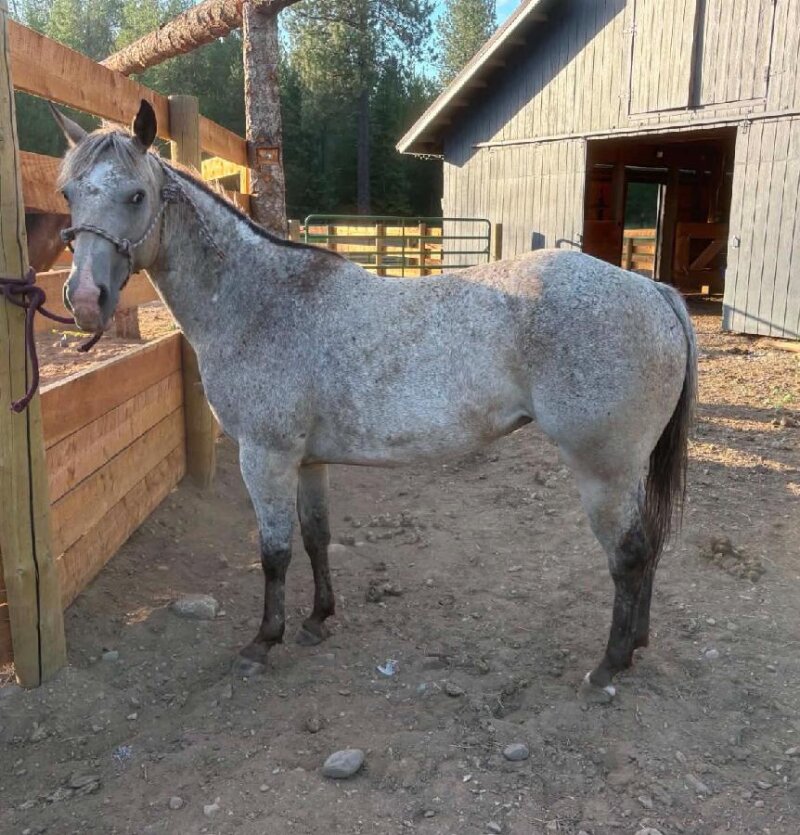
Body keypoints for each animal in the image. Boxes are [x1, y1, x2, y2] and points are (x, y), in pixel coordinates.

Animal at [51, 101, 697, 696]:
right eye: (68, 194)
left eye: (136, 195)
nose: (85, 299)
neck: (261, 301)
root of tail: (652, 290)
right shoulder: (308, 461)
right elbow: (316, 537)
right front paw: (317, 619)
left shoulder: (265, 456)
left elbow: (274, 551)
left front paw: (263, 641)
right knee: (647, 549)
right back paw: (635, 644)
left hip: (603, 470)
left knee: (629, 554)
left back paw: (609, 664)